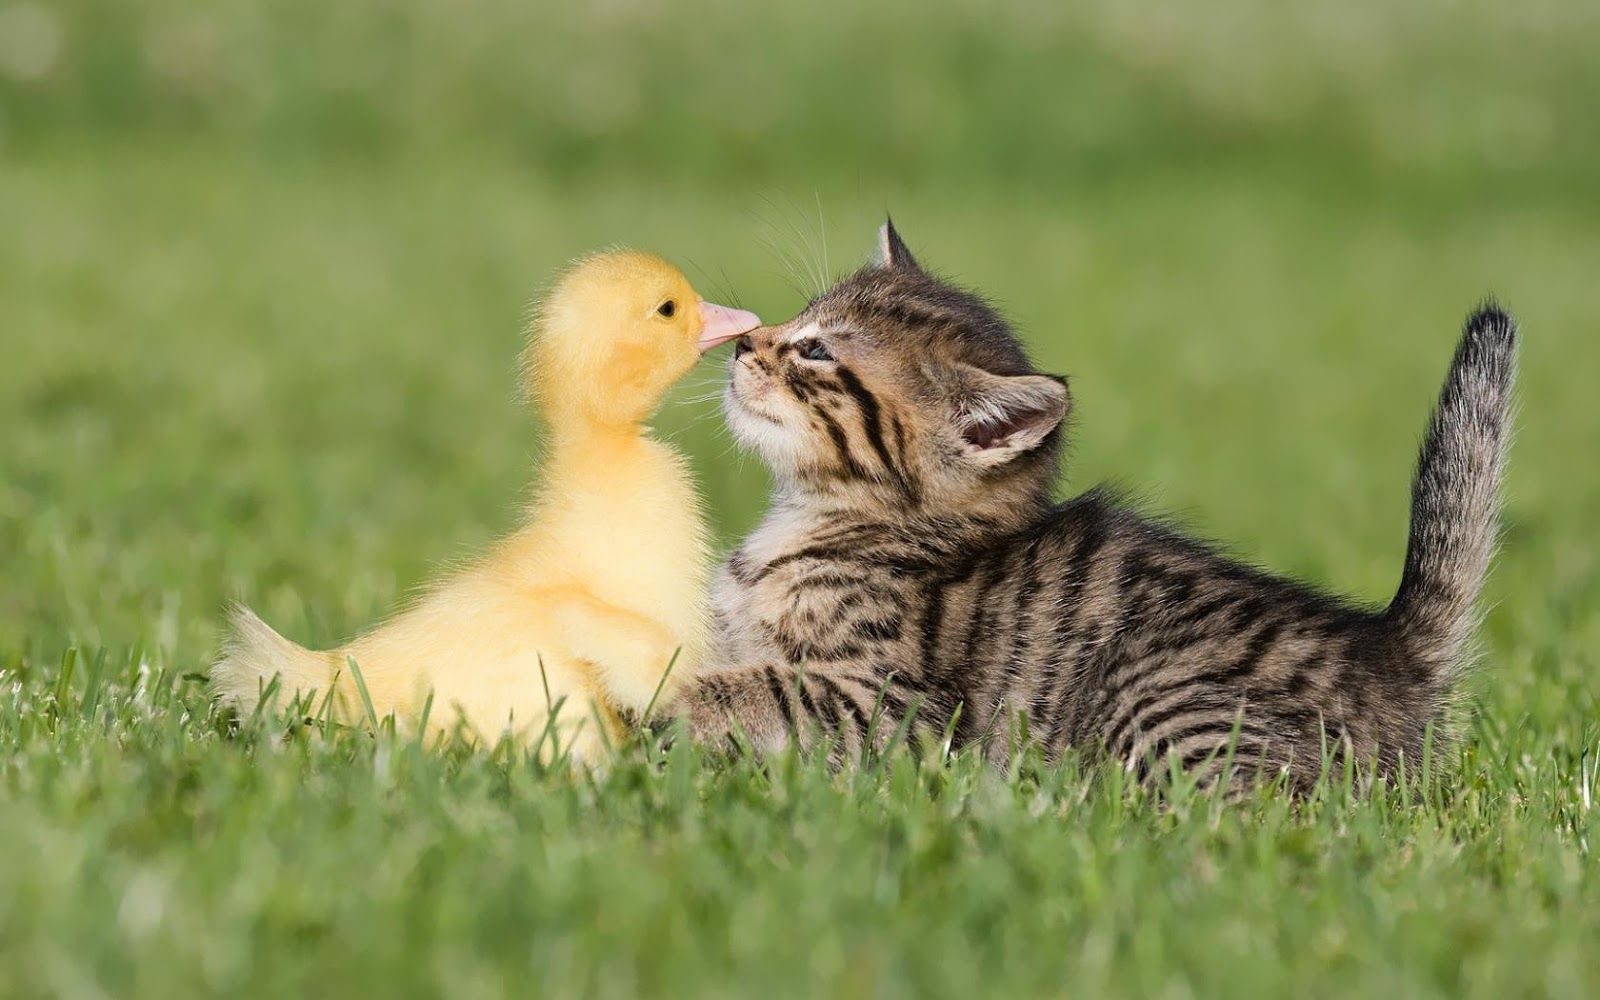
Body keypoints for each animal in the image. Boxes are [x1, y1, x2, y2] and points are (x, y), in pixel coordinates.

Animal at [668, 220, 1516, 787]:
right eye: (797, 315)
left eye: (816, 351)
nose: (743, 343)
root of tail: (1388, 651)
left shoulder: (894, 706)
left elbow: (746, 685)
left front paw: (655, 702)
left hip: (1156, 700)